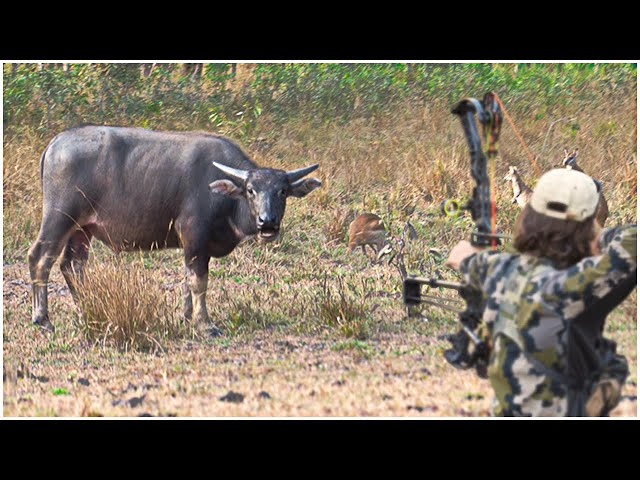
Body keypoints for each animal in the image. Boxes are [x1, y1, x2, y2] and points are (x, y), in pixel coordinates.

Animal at [28, 125, 322, 332]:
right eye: (251, 190)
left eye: (282, 191)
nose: (267, 222)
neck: (223, 196)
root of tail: (56, 142)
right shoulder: (195, 237)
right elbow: (199, 281)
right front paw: (204, 323)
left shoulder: (194, 246)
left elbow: (187, 280)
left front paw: (186, 315)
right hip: (59, 218)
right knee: (40, 258)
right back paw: (43, 318)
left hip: (82, 229)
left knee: (72, 266)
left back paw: (86, 309)